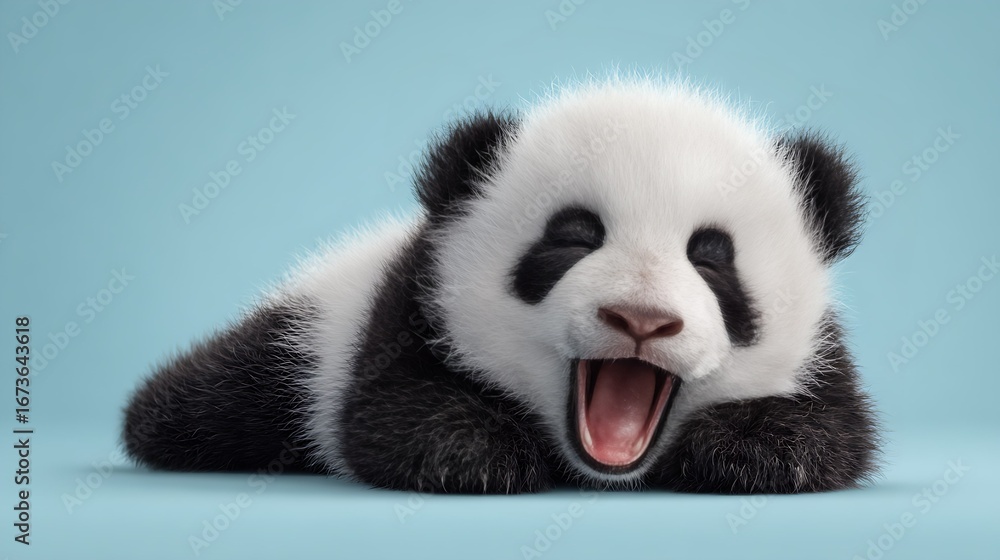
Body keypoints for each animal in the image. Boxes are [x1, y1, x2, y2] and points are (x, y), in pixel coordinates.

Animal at [123, 77, 879, 494]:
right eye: (573, 237)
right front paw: (483, 452)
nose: (640, 319)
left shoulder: (825, 350)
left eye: (712, 258)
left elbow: (834, 433)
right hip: (298, 342)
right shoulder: (413, 300)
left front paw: (746, 450)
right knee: (209, 400)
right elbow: (390, 413)